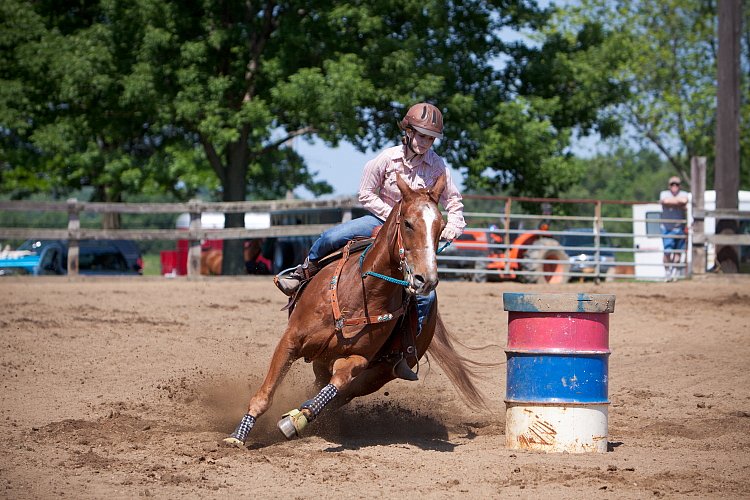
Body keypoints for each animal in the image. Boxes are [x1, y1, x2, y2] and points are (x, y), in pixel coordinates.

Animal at [223, 175, 488, 446]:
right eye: (408, 223)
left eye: (440, 227)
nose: (427, 279)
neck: (360, 295)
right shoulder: (291, 339)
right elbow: (265, 393)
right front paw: (238, 435)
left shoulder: (358, 361)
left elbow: (338, 382)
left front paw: (295, 419)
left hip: (373, 376)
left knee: (335, 395)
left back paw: (299, 420)